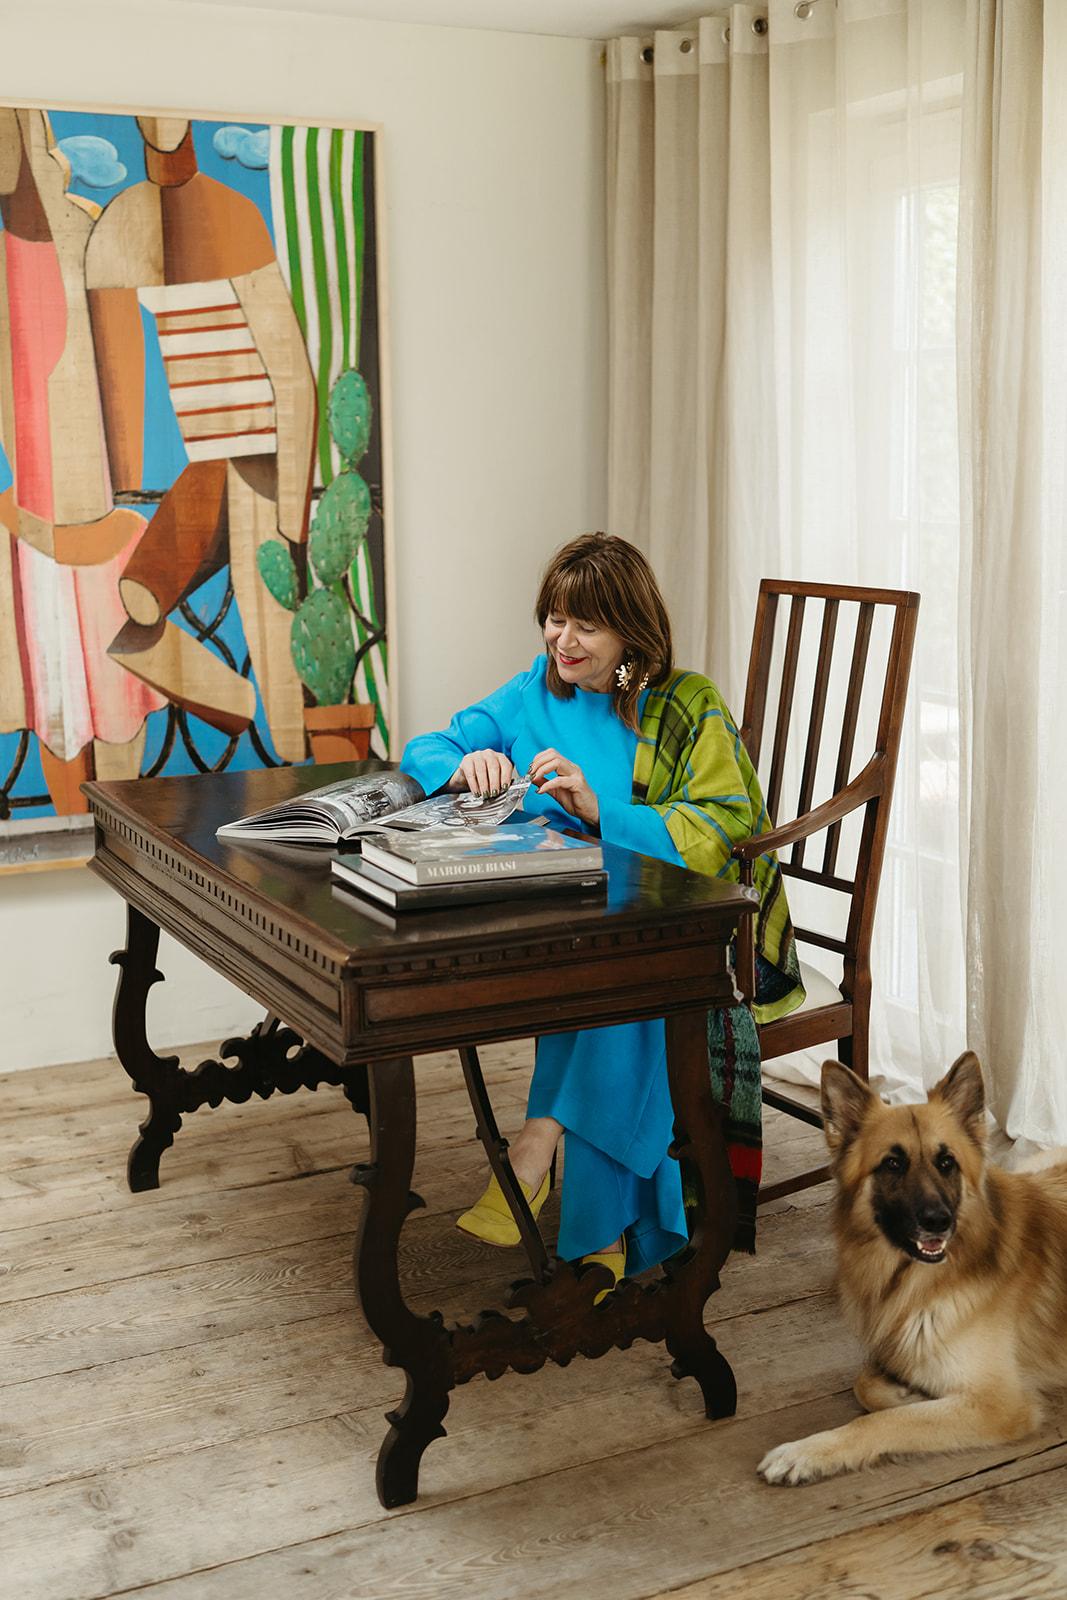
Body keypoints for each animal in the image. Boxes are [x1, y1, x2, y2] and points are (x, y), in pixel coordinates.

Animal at [755, 1049, 1067, 1484]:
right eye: (892, 1164)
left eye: (947, 1162)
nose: (939, 1222)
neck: (913, 1282)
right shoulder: (893, 1343)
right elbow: (865, 1382)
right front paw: (904, 1392)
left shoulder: (997, 1405)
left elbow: (881, 1421)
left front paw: (807, 1451)